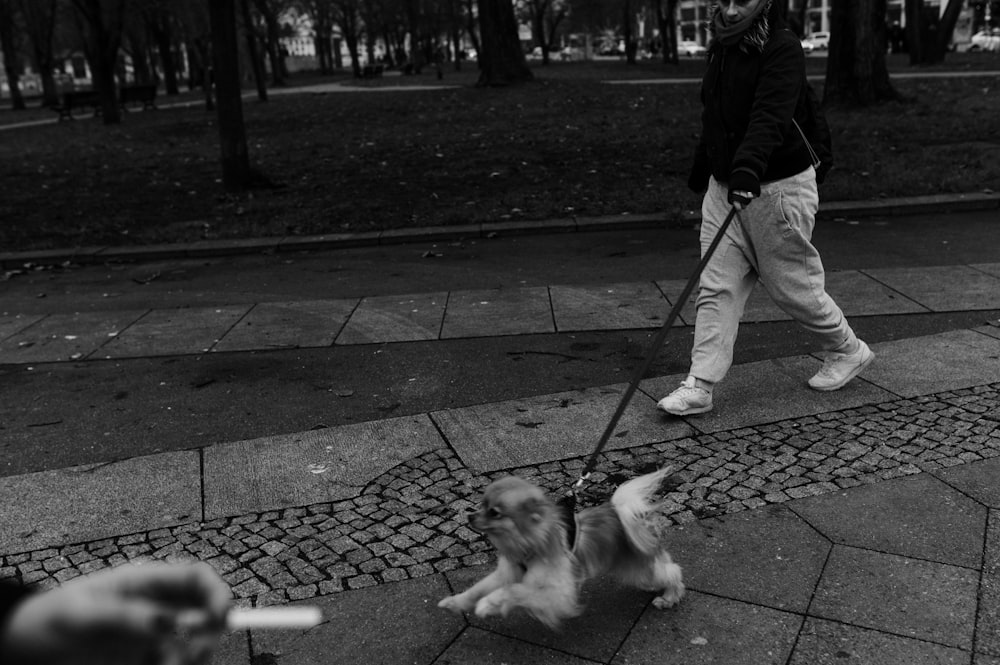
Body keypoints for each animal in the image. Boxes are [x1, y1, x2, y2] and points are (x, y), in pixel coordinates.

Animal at [442, 466, 684, 628]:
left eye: (494, 512)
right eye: (482, 504)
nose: (470, 516)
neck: (529, 543)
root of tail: (627, 514)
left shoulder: (556, 591)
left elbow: (512, 590)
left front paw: (487, 604)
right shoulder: (507, 572)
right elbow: (477, 588)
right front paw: (455, 602)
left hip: (638, 565)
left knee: (672, 571)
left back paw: (669, 597)